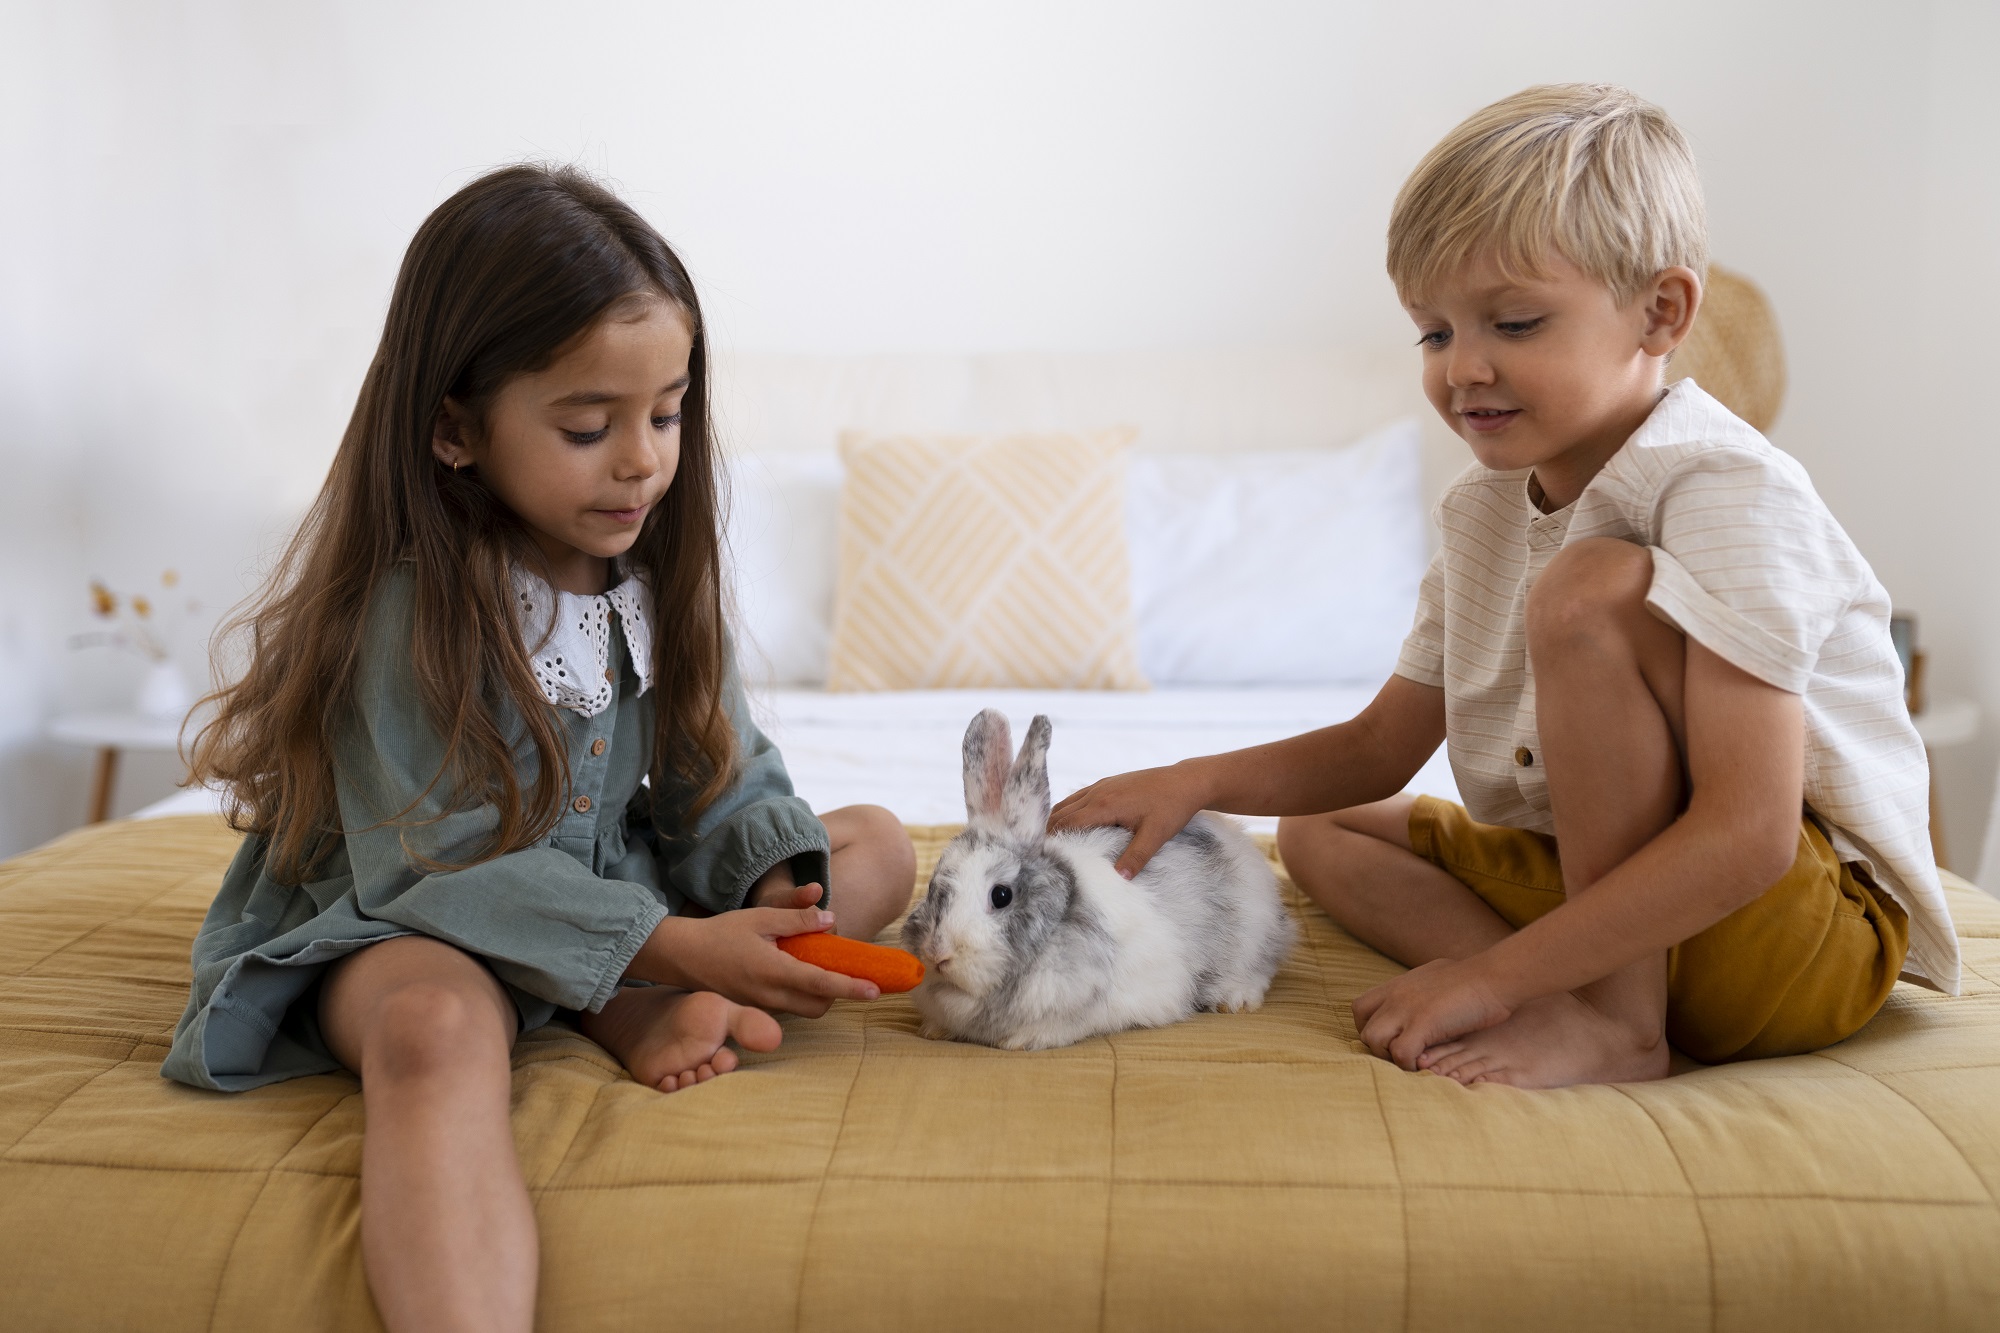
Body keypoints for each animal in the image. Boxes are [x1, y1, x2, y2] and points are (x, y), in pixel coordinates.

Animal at [908, 704, 1296, 1048]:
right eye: (932, 887)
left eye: (1001, 896)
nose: (937, 954)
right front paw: (934, 1031)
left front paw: (1023, 1040)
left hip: (1252, 935)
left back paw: (1234, 999)